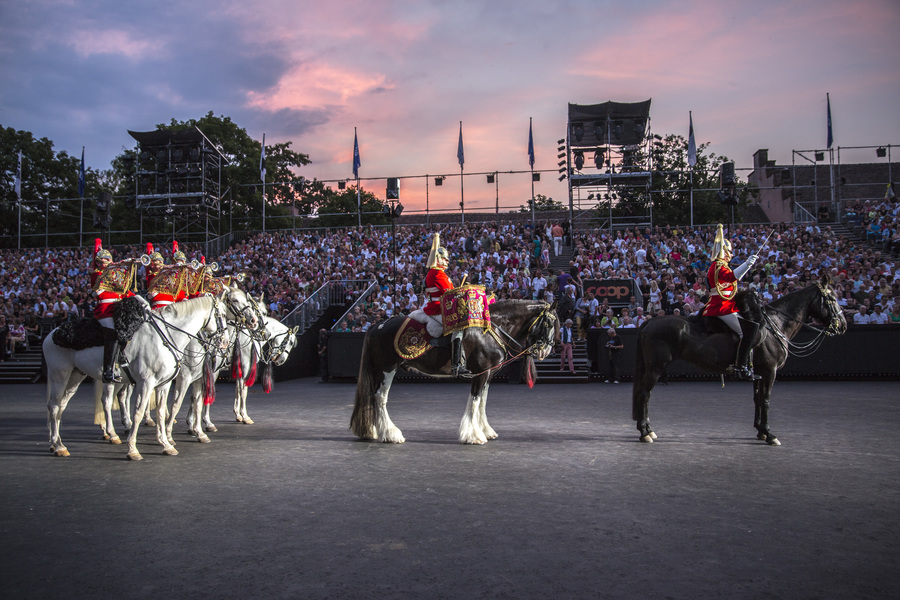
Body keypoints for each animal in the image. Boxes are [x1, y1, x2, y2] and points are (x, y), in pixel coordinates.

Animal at [350, 300, 556, 446]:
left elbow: (482, 401)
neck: (491, 329)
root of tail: (378, 325)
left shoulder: (488, 374)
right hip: (387, 369)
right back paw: (390, 433)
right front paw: (473, 435)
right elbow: (475, 401)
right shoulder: (480, 374)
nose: (545, 351)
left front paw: (485, 430)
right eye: (549, 324)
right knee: (380, 397)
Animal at [628, 276, 848, 446]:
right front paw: (769, 434)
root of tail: (651, 321)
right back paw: (645, 432)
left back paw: (647, 429)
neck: (775, 325)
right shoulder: (770, 371)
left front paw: (760, 431)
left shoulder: (759, 372)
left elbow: (758, 399)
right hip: (656, 368)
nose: (843, 325)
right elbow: (766, 399)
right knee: (644, 394)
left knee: (644, 394)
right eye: (832, 298)